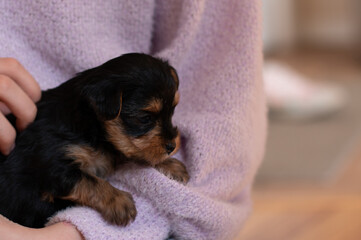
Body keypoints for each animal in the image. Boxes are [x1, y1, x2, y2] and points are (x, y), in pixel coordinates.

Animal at [0, 53, 190, 228]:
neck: (89, 122)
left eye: (172, 111)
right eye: (145, 118)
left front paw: (171, 165)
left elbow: (134, 154)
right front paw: (118, 200)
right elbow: (89, 180)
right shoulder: (52, 164)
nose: (172, 146)